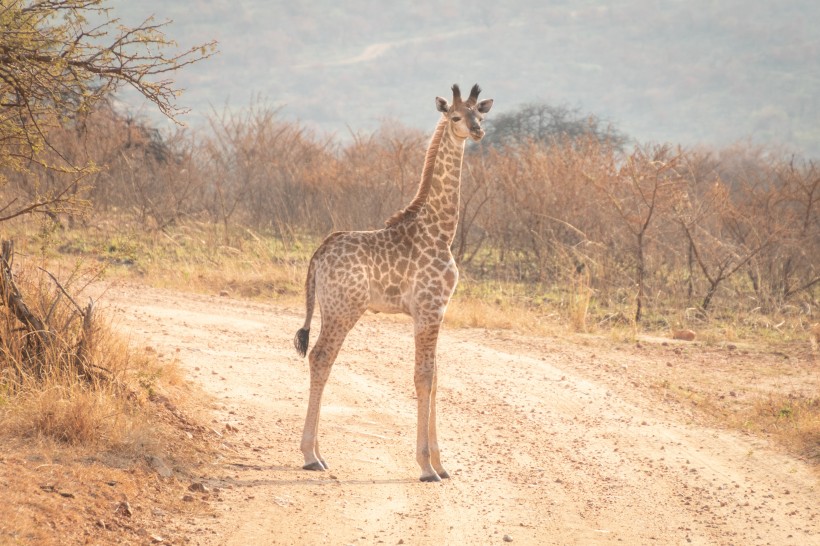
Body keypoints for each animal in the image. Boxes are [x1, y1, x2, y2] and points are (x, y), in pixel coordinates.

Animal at [292, 82, 490, 480]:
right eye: (455, 116)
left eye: (480, 113)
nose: (477, 132)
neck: (440, 232)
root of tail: (318, 255)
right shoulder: (429, 310)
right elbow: (423, 377)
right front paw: (426, 467)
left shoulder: (435, 312)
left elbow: (436, 377)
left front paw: (441, 464)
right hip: (344, 309)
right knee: (321, 357)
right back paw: (310, 456)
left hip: (329, 307)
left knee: (322, 359)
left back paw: (319, 453)